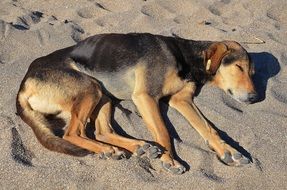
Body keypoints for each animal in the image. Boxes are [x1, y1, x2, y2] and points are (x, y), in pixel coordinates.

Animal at [16, 32, 258, 174]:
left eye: (252, 72)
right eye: (239, 67)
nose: (254, 97)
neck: (186, 56)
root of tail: (24, 84)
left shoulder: (181, 99)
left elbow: (208, 128)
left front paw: (229, 151)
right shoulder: (146, 96)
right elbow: (163, 132)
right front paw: (170, 160)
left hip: (104, 95)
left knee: (102, 131)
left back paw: (136, 147)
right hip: (90, 87)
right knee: (73, 133)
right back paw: (111, 149)